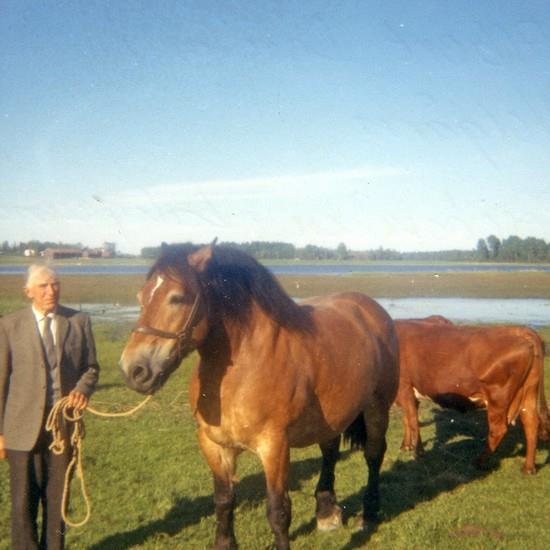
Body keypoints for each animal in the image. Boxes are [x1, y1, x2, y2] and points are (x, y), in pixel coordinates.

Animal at [119, 244, 402, 548]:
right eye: (141, 297)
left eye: (177, 298)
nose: (133, 369)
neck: (241, 370)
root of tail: (371, 309)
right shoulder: (214, 445)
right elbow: (223, 501)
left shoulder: (274, 446)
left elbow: (278, 511)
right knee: (330, 452)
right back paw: (327, 512)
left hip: (377, 407)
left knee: (374, 454)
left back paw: (369, 512)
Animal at [396, 322, 550, 476]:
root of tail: (520, 330)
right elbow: (406, 419)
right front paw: (406, 445)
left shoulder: (405, 386)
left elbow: (412, 421)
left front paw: (418, 453)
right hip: (529, 391)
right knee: (530, 422)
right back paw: (528, 468)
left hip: (497, 397)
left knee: (498, 429)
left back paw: (478, 462)